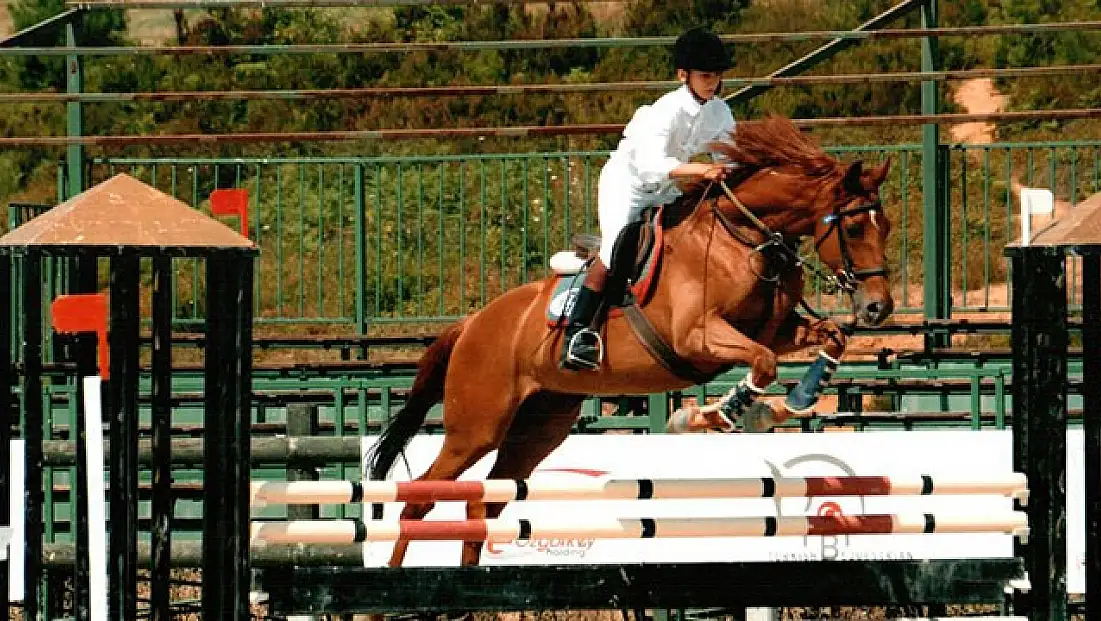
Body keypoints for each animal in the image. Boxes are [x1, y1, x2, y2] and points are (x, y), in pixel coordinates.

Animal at [367, 116, 894, 568]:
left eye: (885, 227)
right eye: (852, 228)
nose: (879, 308)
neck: (743, 238)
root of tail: (472, 322)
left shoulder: (776, 331)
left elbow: (828, 338)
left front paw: (794, 400)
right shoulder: (697, 336)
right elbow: (762, 364)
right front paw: (713, 415)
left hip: (538, 426)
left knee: (484, 506)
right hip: (477, 427)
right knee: (420, 501)